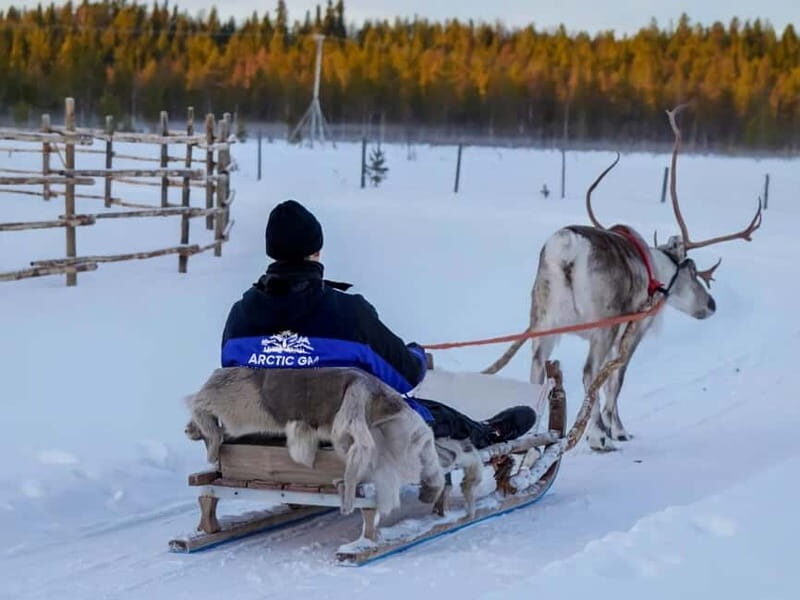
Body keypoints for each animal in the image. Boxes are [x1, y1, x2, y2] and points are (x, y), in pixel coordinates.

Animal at [483, 105, 762, 451]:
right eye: (693, 270)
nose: (711, 305)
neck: (659, 272)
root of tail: (567, 249)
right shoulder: (635, 327)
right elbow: (616, 379)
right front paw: (617, 429)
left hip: (543, 319)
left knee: (537, 369)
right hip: (603, 323)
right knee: (590, 372)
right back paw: (597, 436)